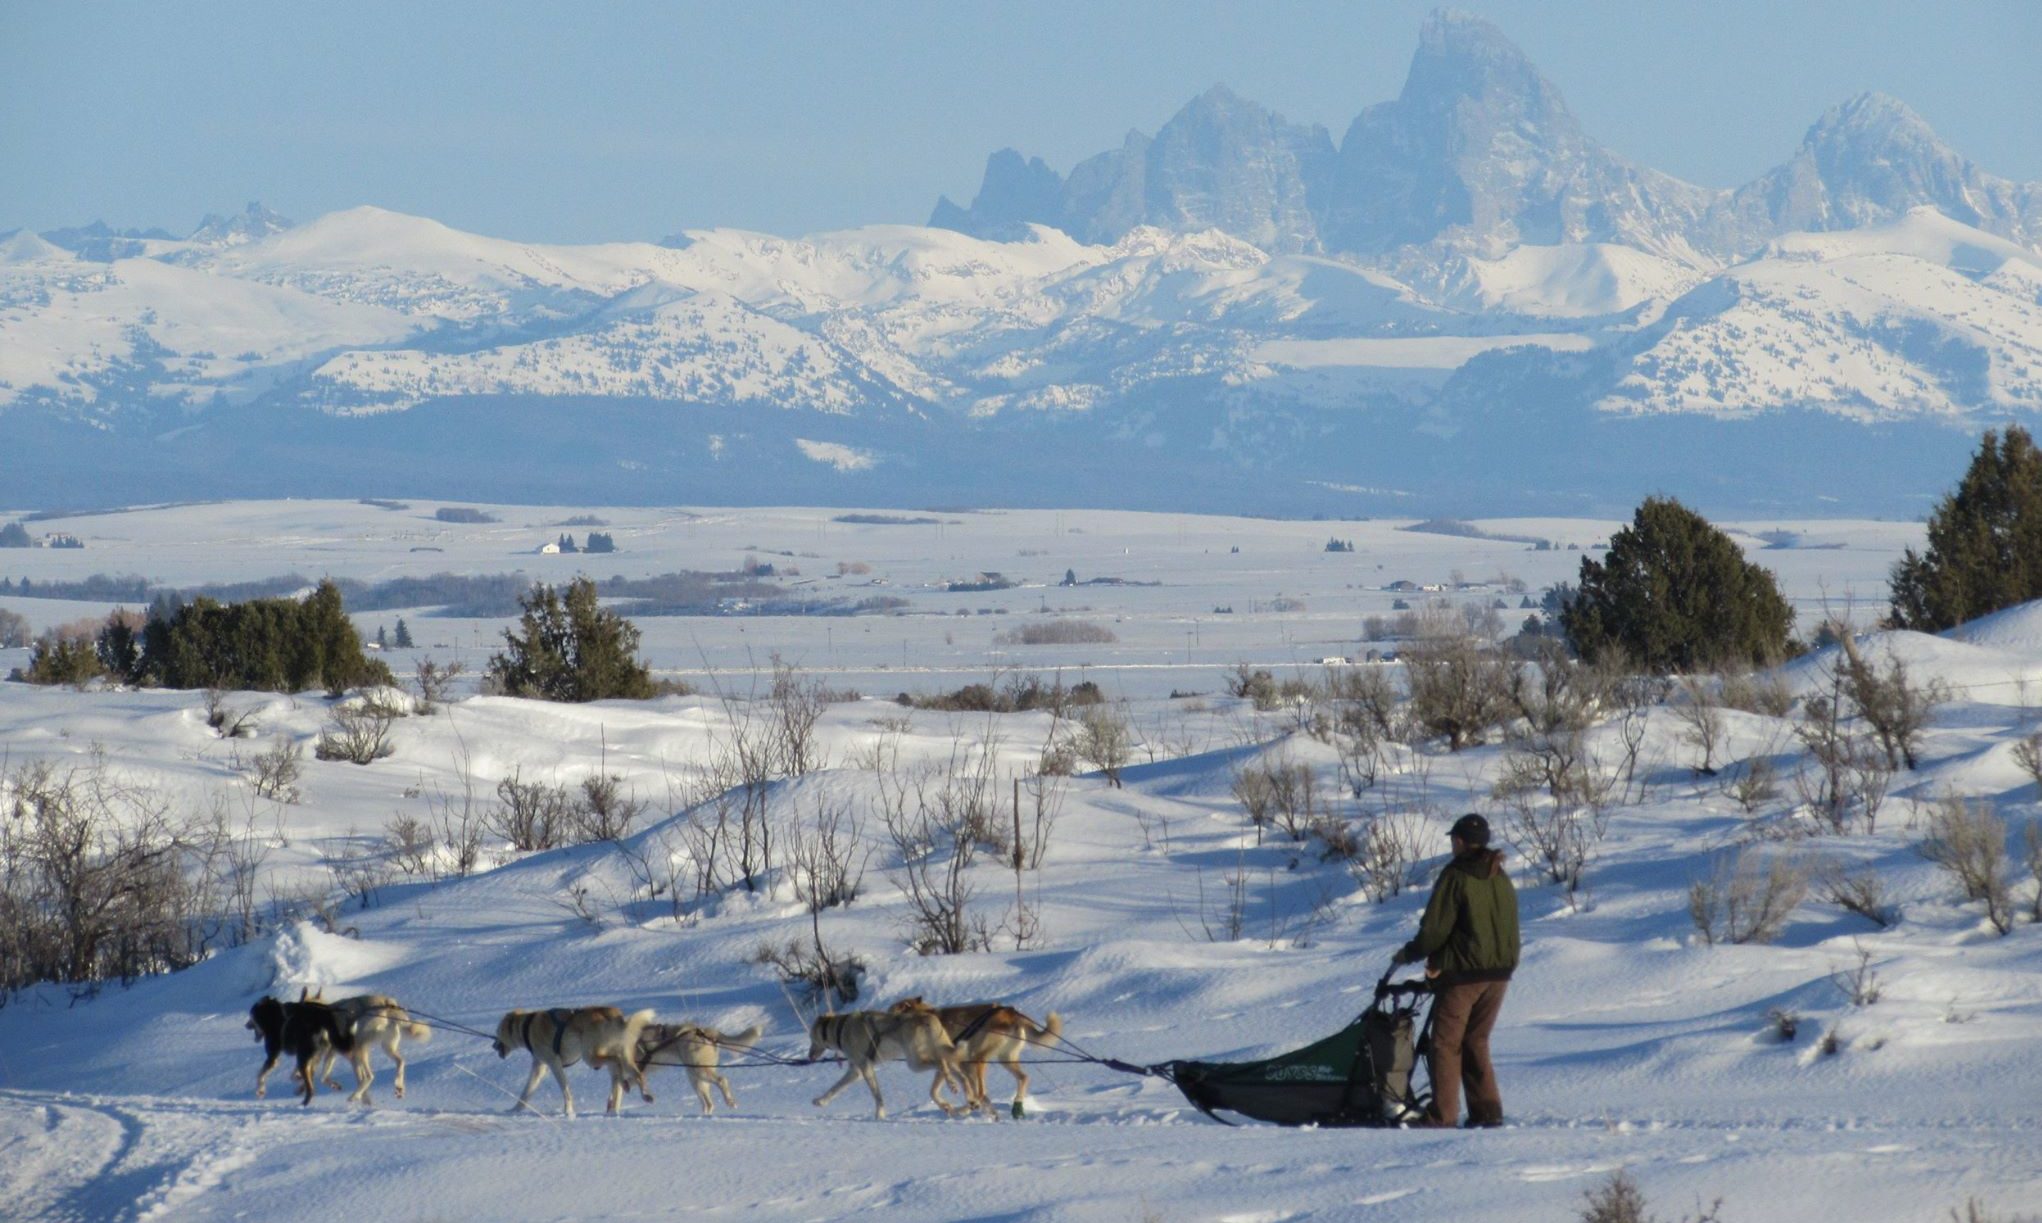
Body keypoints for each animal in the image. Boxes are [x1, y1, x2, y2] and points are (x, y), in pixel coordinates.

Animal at [300, 992, 428, 1102]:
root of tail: (387, 1005)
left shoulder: (348, 1055)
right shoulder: (334, 1052)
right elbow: (323, 1077)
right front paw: (335, 1085)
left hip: (360, 1047)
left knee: (369, 1076)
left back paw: (354, 1096)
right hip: (386, 1047)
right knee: (400, 1062)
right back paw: (399, 1086)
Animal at [494, 1004, 653, 1118]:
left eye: (497, 1032)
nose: (493, 1045)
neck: (527, 1026)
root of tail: (614, 1016)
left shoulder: (554, 1063)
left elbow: (565, 1090)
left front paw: (568, 1111)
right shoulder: (539, 1068)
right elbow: (526, 1092)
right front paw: (514, 1110)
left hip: (591, 1057)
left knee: (617, 1063)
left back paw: (624, 1088)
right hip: (617, 1056)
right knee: (632, 1074)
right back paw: (632, 1100)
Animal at [628, 1020, 767, 1118]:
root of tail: (705, 1031)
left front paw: (646, 1097)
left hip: (700, 1072)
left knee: (722, 1080)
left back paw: (730, 1101)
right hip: (695, 1078)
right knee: (708, 1103)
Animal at [804, 1012, 963, 1118]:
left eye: (811, 1038)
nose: (809, 1056)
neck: (841, 1028)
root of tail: (927, 1018)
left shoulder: (865, 1068)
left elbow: (877, 1095)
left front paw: (879, 1115)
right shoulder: (856, 1072)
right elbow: (835, 1088)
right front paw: (821, 1101)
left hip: (915, 1063)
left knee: (941, 1063)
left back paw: (951, 1085)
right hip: (940, 1056)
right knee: (954, 1071)